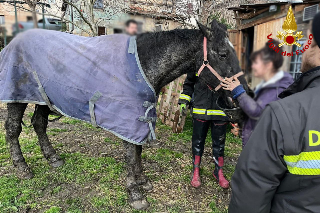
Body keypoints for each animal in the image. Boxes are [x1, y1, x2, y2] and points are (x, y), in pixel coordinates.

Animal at [5, 20, 249, 211]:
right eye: (223, 53)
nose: (240, 101)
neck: (141, 66)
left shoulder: (139, 118)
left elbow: (138, 150)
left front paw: (143, 181)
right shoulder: (127, 120)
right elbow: (131, 155)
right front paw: (135, 194)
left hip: (43, 98)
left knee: (39, 124)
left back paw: (53, 158)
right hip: (18, 97)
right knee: (13, 130)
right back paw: (23, 168)